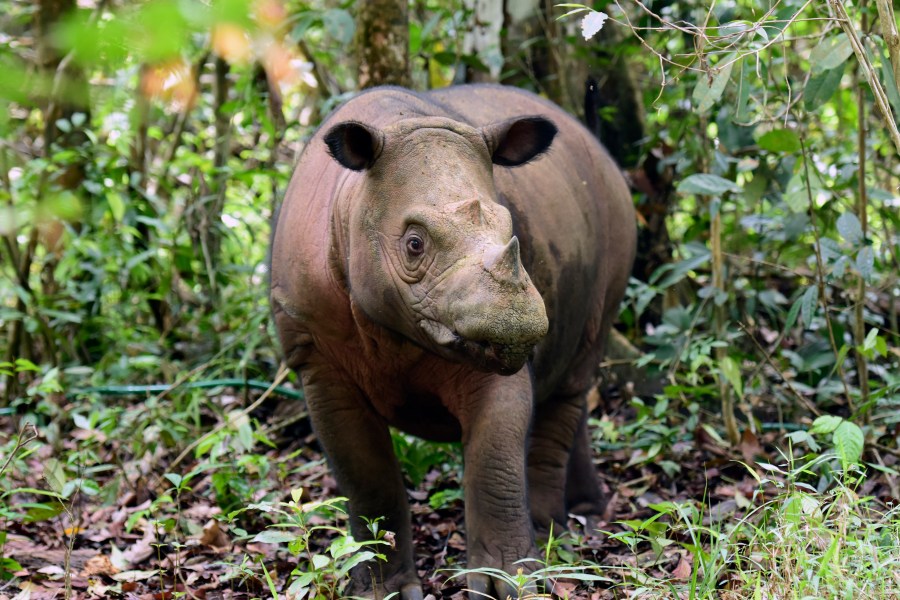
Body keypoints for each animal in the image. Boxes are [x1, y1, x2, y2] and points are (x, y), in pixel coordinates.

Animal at [270, 83, 636, 596]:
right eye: (414, 244)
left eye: (512, 230)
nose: (518, 323)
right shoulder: (316, 355)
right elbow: (366, 477)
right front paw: (383, 590)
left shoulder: (489, 351)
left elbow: (495, 462)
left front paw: (507, 582)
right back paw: (580, 516)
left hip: (617, 213)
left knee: (577, 372)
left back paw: (556, 533)